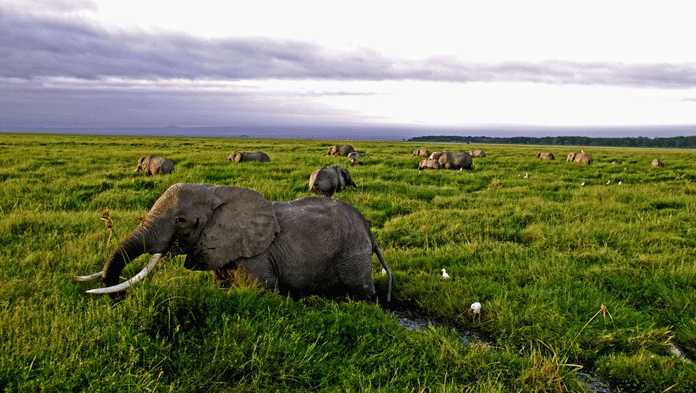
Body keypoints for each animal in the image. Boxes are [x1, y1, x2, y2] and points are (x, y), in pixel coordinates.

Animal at [77, 181, 392, 300]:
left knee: (362, 291)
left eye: (180, 221)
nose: (121, 300)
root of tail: (369, 230)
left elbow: (264, 289)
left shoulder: (257, 256)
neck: (215, 192)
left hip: (352, 255)